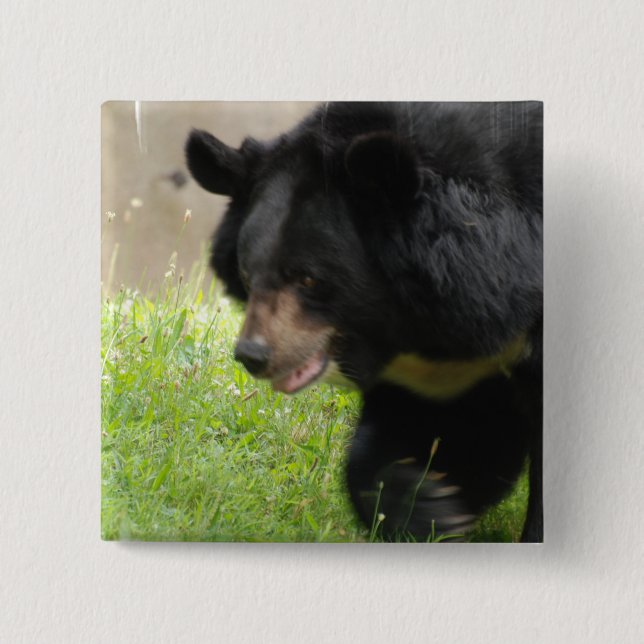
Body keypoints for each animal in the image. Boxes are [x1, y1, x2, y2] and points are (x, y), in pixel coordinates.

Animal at [185, 101, 543, 542]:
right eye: (248, 274)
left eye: (309, 278)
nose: (253, 355)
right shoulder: (455, 367)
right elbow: (451, 428)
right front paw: (427, 504)